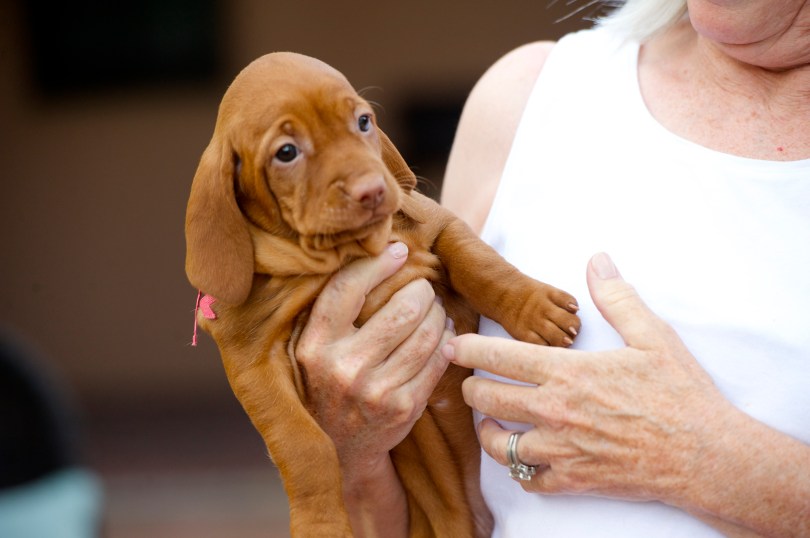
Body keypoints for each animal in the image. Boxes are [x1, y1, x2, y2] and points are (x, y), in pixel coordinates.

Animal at [185, 52, 580, 537]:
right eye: (286, 152)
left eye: (363, 122)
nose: (372, 190)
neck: (343, 257)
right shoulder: (251, 362)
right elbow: (302, 444)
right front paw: (320, 522)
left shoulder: (437, 225)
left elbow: (482, 267)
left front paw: (535, 308)